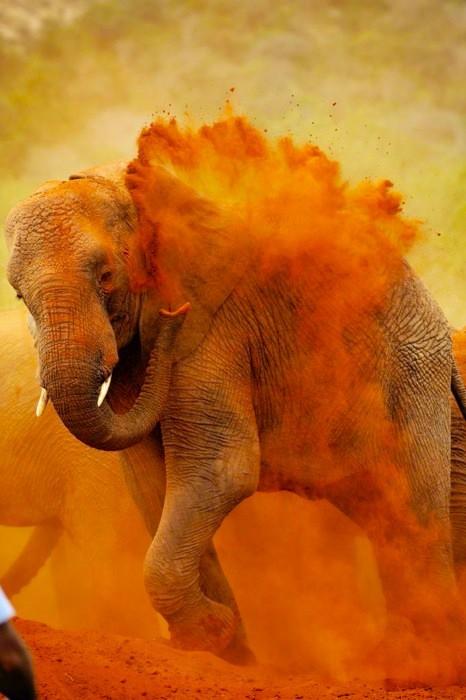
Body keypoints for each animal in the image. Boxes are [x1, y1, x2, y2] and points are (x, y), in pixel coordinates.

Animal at [4, 155, 466, 677]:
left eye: (106, 276)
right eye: (18, 296)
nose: (173, 317)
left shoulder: (215, 336)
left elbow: (221, 470)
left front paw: (213, 636)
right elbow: (155, 487)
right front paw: (225, 652)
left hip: (410, 374)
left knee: (409, 509)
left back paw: (416, 665)